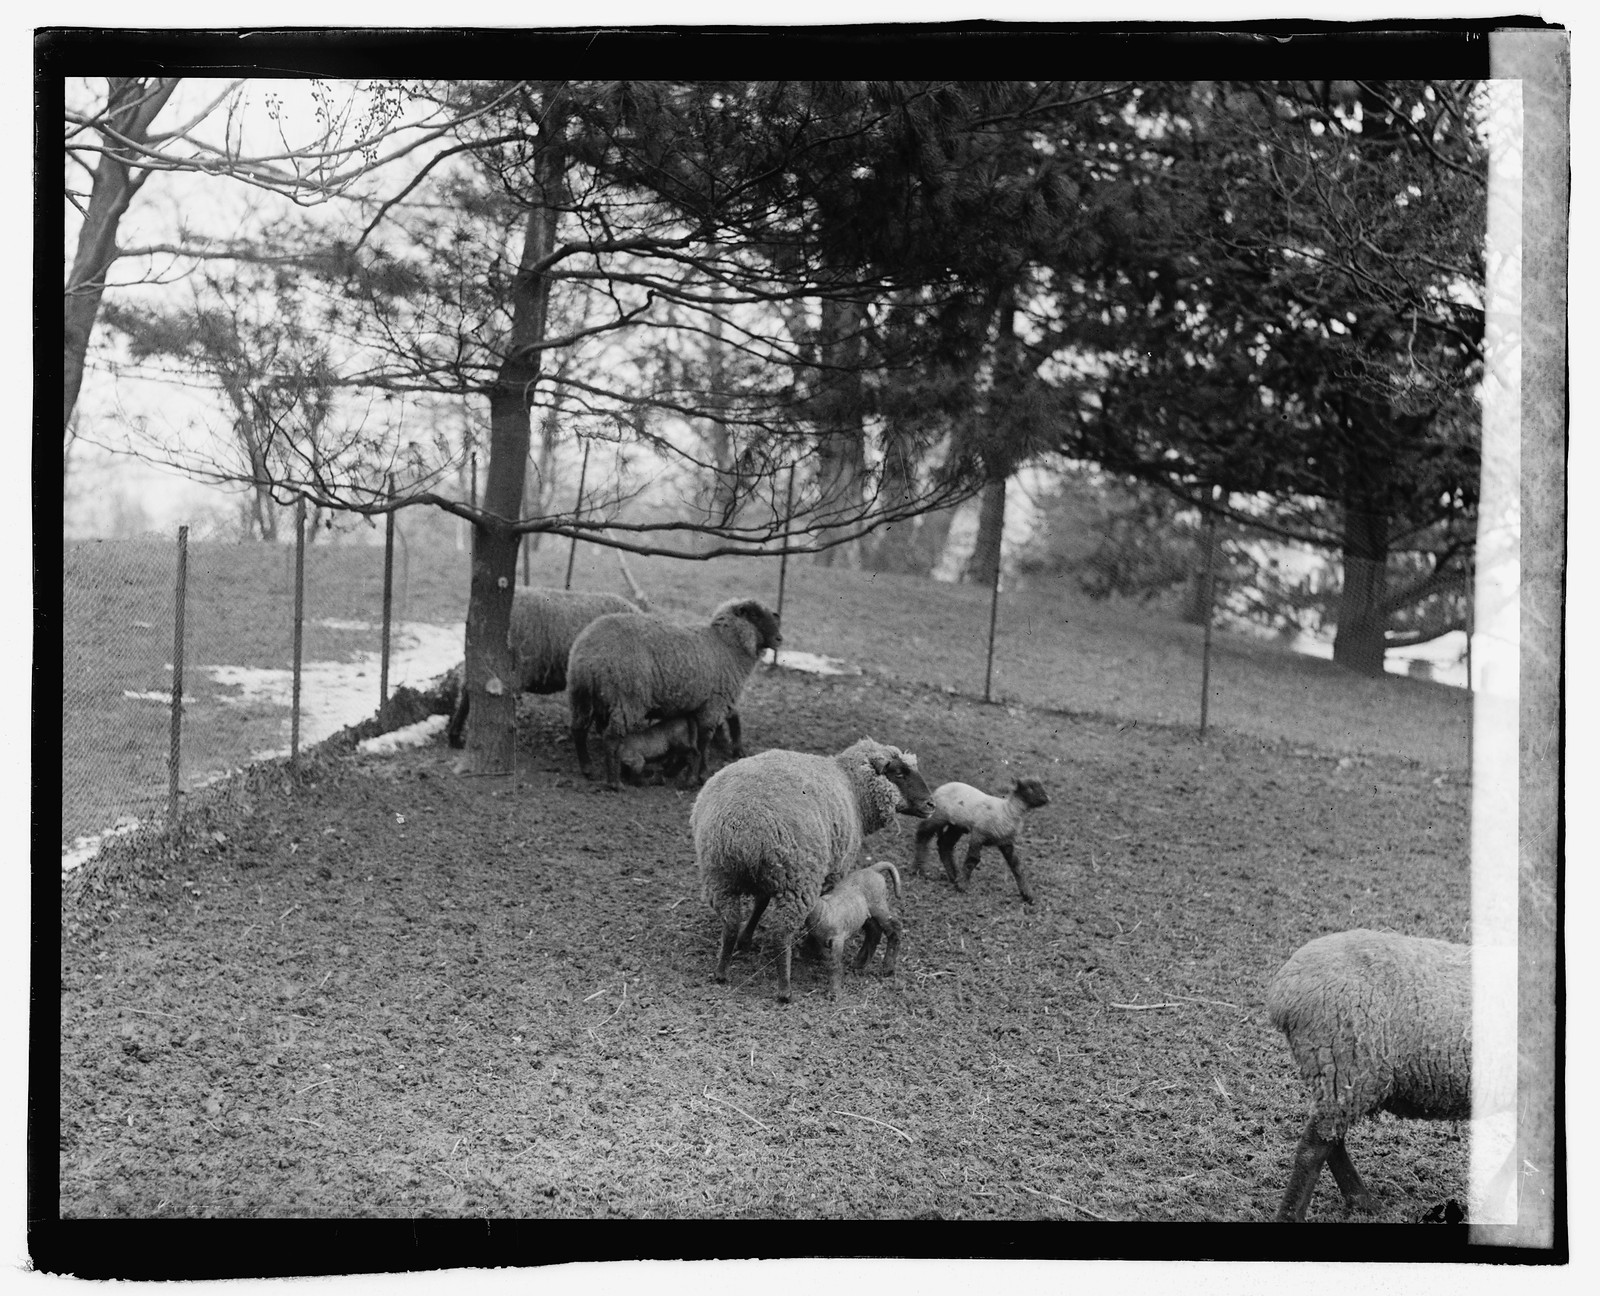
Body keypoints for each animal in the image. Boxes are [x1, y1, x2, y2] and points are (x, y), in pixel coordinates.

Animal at [567, 598, 782, 789]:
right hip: (627, 699)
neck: (726, 645)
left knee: (578, 729)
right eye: (755, 615)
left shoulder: (696, 707)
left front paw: (679, 769)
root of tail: (589, 654)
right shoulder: (713, 704)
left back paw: (588, 768)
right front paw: (702, 774)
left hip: (582, 694)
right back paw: (614, 782)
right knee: (610, 738)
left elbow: (694, 742)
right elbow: (704, 741)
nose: (779, 639)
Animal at [804, 861, 904, 998]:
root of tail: (872, 869)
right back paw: (860, 963)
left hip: (879, 906)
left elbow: (834, 965)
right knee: (875, 931)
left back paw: (888, 968)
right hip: (865, 914)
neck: (824, 910)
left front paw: (834, 992)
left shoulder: (838, 939)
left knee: (895, 928)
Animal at [911, 777, 1051, 903]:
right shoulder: (979, 833)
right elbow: (973, 859)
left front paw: (1028, 895)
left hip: (956, 826)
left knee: (945, 844)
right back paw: (919, 870)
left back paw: (954, 875)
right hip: (938, 816)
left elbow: (1016, 866)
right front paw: (962, 886)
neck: (1007, 810)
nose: (1047, 798)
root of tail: (942, 787)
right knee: (922, 833)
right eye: (1030, 788)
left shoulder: (1006, 842)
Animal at [1266, 928, 1472, 1222]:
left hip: (1343, 1077)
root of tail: (1283, 990)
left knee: (1331, 1140)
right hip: (1347, 1066)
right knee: (1313, 1148)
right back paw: (1293, 1215)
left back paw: (1362, 1201)